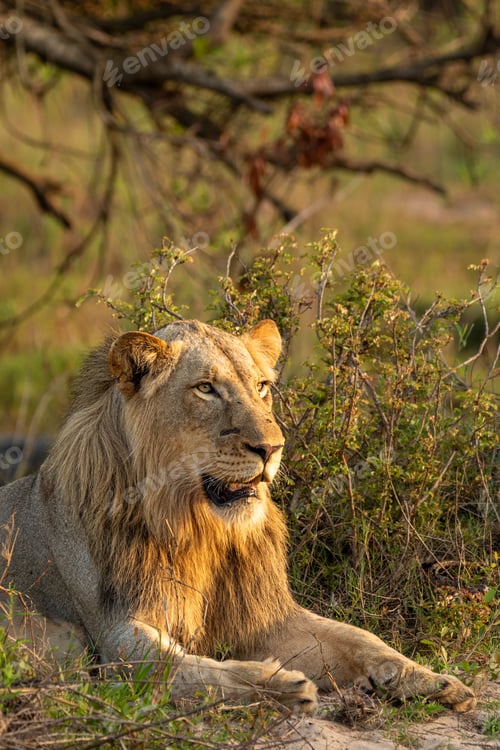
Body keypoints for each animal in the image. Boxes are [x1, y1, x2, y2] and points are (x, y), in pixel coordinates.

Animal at [0, 319, 475, 713]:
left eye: (262, 386)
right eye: (206, 389)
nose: (272, 448)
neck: (199, 529)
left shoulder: (265, 619)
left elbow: (359, 637)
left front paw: (432, 680)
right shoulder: (115, 631)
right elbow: (183, 668)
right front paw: (277, 685)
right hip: (62, 640)